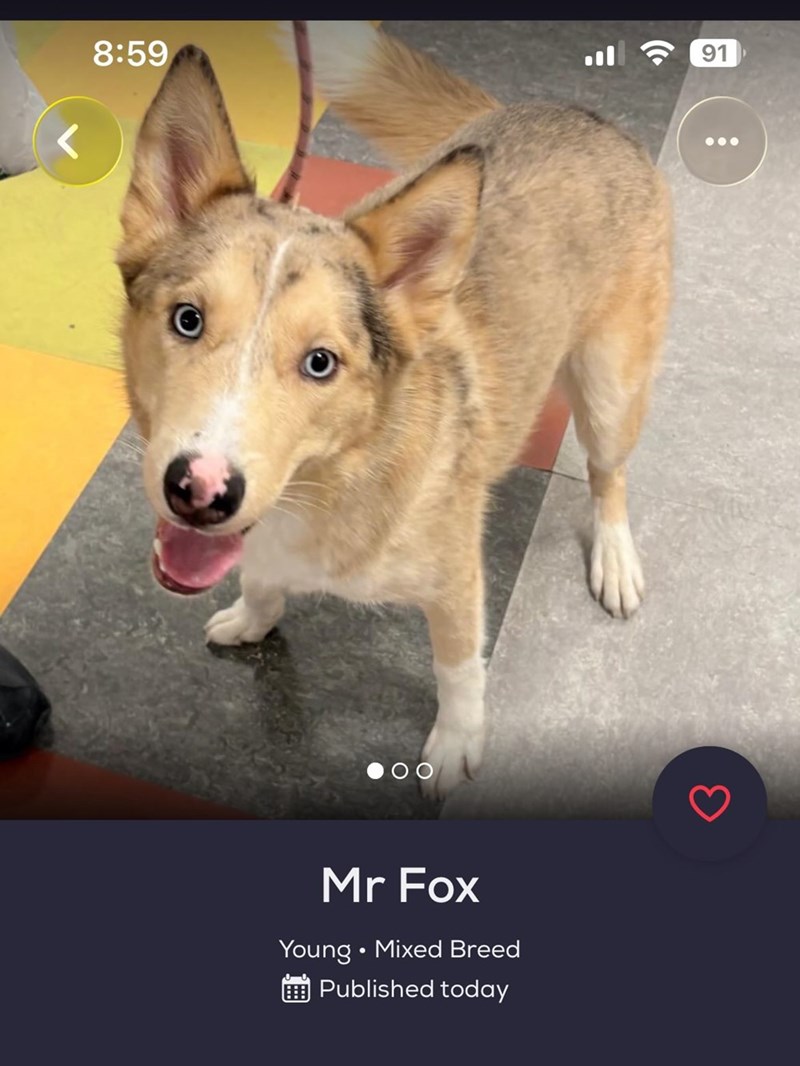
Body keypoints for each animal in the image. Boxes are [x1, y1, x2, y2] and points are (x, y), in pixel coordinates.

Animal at [117, 22, 671, 800]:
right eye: (187, 320)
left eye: (321, 363)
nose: (199, 491)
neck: (330, 481)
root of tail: (576, 114)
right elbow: (259, 577)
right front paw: (254, 617)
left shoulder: (456, 580)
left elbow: (458, 667)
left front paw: (457, 744)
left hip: (608, 388)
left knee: (607, 474)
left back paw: (616, 559)